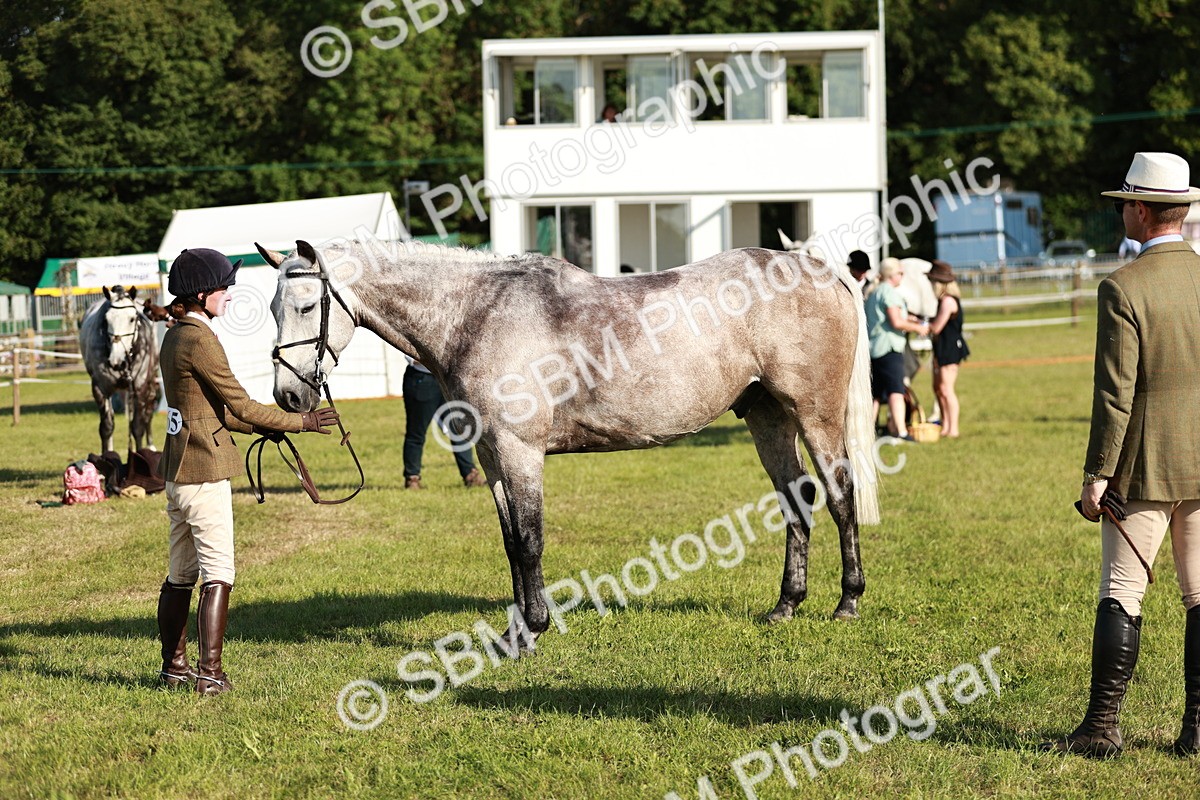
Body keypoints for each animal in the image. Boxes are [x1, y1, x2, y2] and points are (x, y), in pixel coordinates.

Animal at [78, 286, 160, 453]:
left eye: (132, 318)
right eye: (107, 320)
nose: (116, 359)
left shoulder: (140, 388)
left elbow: (137, 427)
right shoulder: (101, 389)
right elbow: (107, 427)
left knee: (148, 411)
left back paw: (151, 445)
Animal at [259, 239, 879, 643]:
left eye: (307, 306)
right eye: (270, 307)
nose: (288, 396)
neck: (478, 315)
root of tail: (821, 271)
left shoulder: (520, 452)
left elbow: (531, 540)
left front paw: (534, 629)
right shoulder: (491, 456)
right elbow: (512, 543)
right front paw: (516, 629)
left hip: (814, 415)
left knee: (839, 496)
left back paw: (848, 602)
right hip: (766, 416)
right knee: (796, 500)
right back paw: (785, 606)